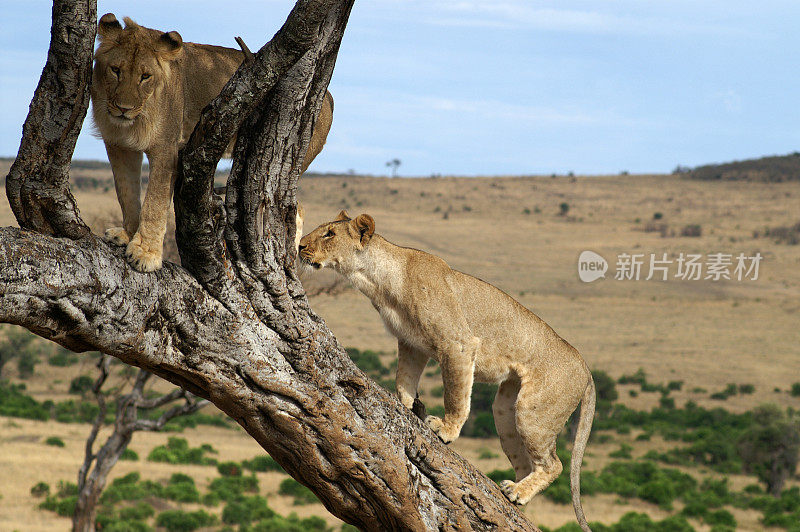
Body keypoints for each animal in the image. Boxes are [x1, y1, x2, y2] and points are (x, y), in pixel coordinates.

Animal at [92, 14, 332, 272]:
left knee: (291, 208)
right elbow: (126, 192)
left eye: (145, 76)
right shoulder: (119, 145)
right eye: (116, 70)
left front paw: (145, 254)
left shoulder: (166, 147)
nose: (123, 108)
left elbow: (154, 202)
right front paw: (127, 234)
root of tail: (327, 96)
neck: (133, 122)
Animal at [298, 212, 592, 532]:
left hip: (533, 411)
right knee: (525, 460)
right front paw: (406, 405)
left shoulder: (457, 344)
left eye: (329, 233)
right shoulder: (411, 344)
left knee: (554, 464)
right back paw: (512, 490)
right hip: (505, 409)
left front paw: (445, 429)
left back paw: (518, 492)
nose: (299, 246)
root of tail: (585, 366)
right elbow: (404, 380)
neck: (377, 280)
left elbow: (456, 393)